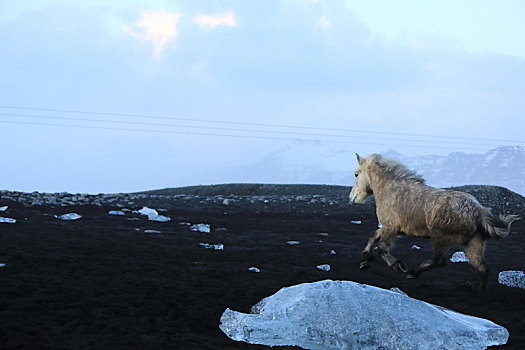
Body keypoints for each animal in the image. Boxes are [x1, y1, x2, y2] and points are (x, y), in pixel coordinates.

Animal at [350, 153, 516, 292]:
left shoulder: (391, 228)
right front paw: (364, 260)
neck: (390, 190)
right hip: (472, 244)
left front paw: (398, 265)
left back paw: (412, 272)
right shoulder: (388, 227)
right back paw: (478, 292)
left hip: (440, 238)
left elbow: (383, 248)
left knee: (440, 260)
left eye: (356, 174)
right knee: (482, 268)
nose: (352, 198)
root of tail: (478, 211)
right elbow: (373, 235)